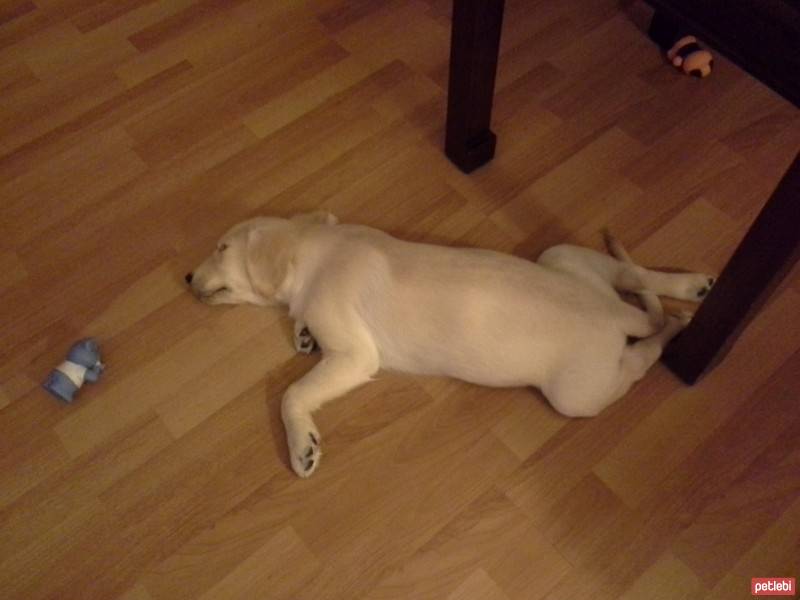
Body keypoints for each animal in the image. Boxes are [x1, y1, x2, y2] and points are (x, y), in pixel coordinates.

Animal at [186, 211, 712, 478]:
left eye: (221, 249)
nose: (187, 277)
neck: (319, 250)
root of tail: (612, 312)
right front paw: (302, 332)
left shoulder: (357, 355)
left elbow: (292, 394)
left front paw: (302, 446)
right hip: (564, 257)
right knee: (637, 275)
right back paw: (693, 290)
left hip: (578, 394)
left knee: (644, 353)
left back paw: (679, 325)